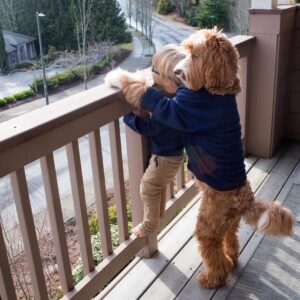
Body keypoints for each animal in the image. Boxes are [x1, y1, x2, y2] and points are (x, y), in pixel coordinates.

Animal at [105, 28, 292, 288]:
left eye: (195, 55)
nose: (176, 72)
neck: (217, 89)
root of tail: (245, 199)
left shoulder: (181, 108)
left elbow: (146, 92)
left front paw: (116, 77)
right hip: (227, 223)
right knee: (231, 240)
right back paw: (232, 258)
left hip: (208, 223)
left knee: (213, 252)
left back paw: (212, 278)